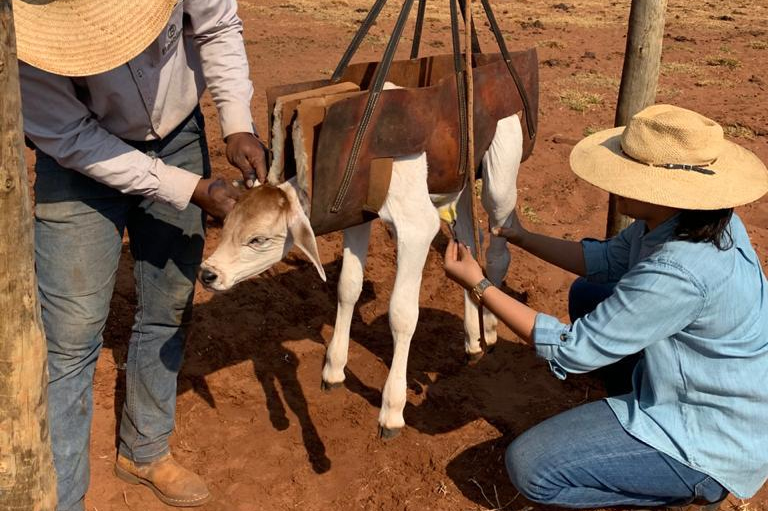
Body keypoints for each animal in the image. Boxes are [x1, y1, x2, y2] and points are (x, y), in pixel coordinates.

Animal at [198, 114, 520, 438]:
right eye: (227, 225)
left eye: (259, 239)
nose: (207, 273)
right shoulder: (357, 216)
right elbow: (348, 287)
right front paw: (334, 369)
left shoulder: (417, 229)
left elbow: (402, 315)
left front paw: (392, 409)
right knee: (470, 237)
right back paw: (473, 339)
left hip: (500, 181)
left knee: (499, 250)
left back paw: (490, 328)